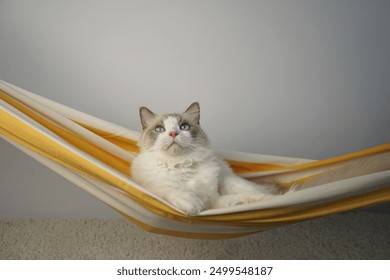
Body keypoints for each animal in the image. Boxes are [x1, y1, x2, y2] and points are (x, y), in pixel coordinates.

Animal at [131, 101, 278, 215]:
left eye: (184, 127)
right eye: (160, 129)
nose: (173, 133)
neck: (180, 163)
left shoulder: (213, 202)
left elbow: (235, 200)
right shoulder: (149, 188)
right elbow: (169, 191)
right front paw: (192, 205)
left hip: (229, 181)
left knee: (261, 194)